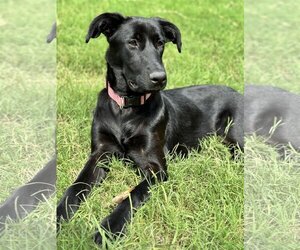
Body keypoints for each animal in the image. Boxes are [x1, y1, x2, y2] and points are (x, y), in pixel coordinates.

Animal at [56, 12, 244, 245]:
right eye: (132, 43)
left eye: (160, 43)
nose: (160, 78)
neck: (126, 109)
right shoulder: (100, 154)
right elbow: (76, 186)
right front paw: (56, 215)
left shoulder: (156, 168)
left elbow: (132, 194)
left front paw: (109, 228)